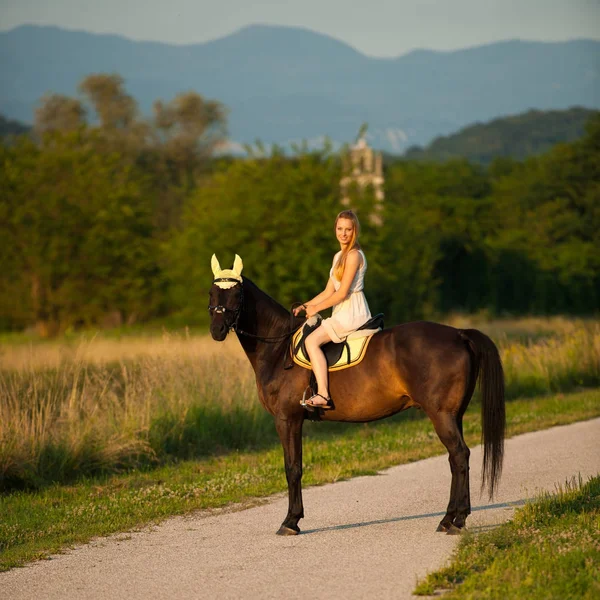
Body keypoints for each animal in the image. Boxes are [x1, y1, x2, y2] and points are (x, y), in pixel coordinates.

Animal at [209, 255, 504, 536]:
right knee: (456, 459)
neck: (279, 348)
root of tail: (459, 334)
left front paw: (290, 521)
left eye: (237, 294)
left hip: (441, 415)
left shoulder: (287, 419)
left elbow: (292, 468)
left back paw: (456, 520)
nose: (217, 330)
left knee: (459, 455)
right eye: (212, 293)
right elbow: (295, 466)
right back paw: (450, 518)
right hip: (455, 415)